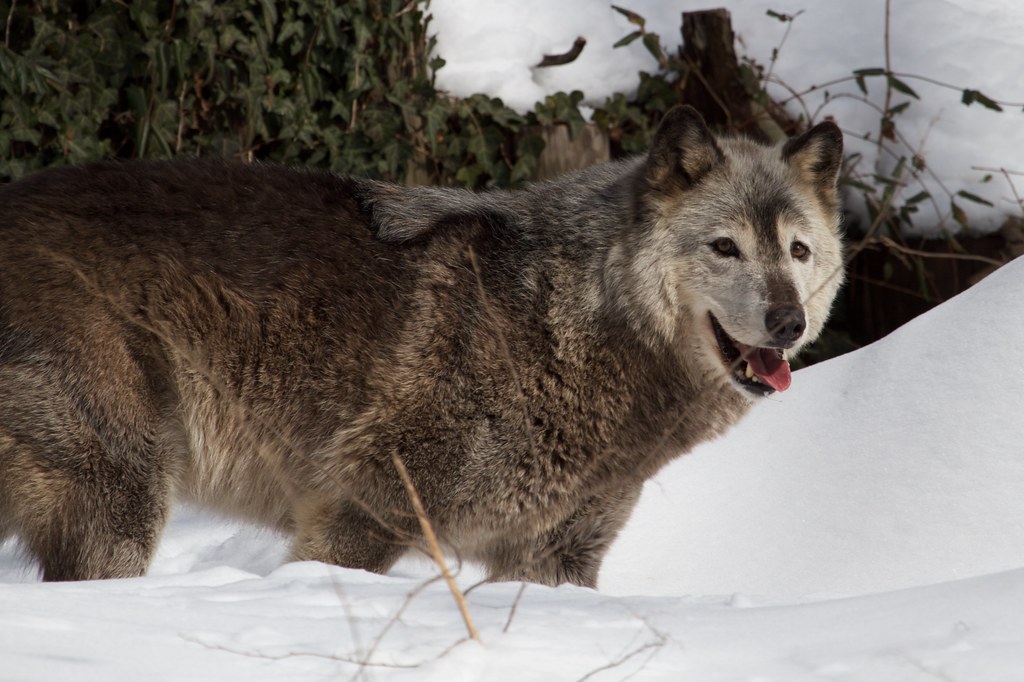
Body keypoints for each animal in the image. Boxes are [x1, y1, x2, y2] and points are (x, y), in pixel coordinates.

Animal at [0, 106, 844, 585]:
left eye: (797, 252)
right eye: (726, 247)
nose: (787, 323)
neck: (567, 318)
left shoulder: (554, 563)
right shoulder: (362, 514)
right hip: (123, 504)